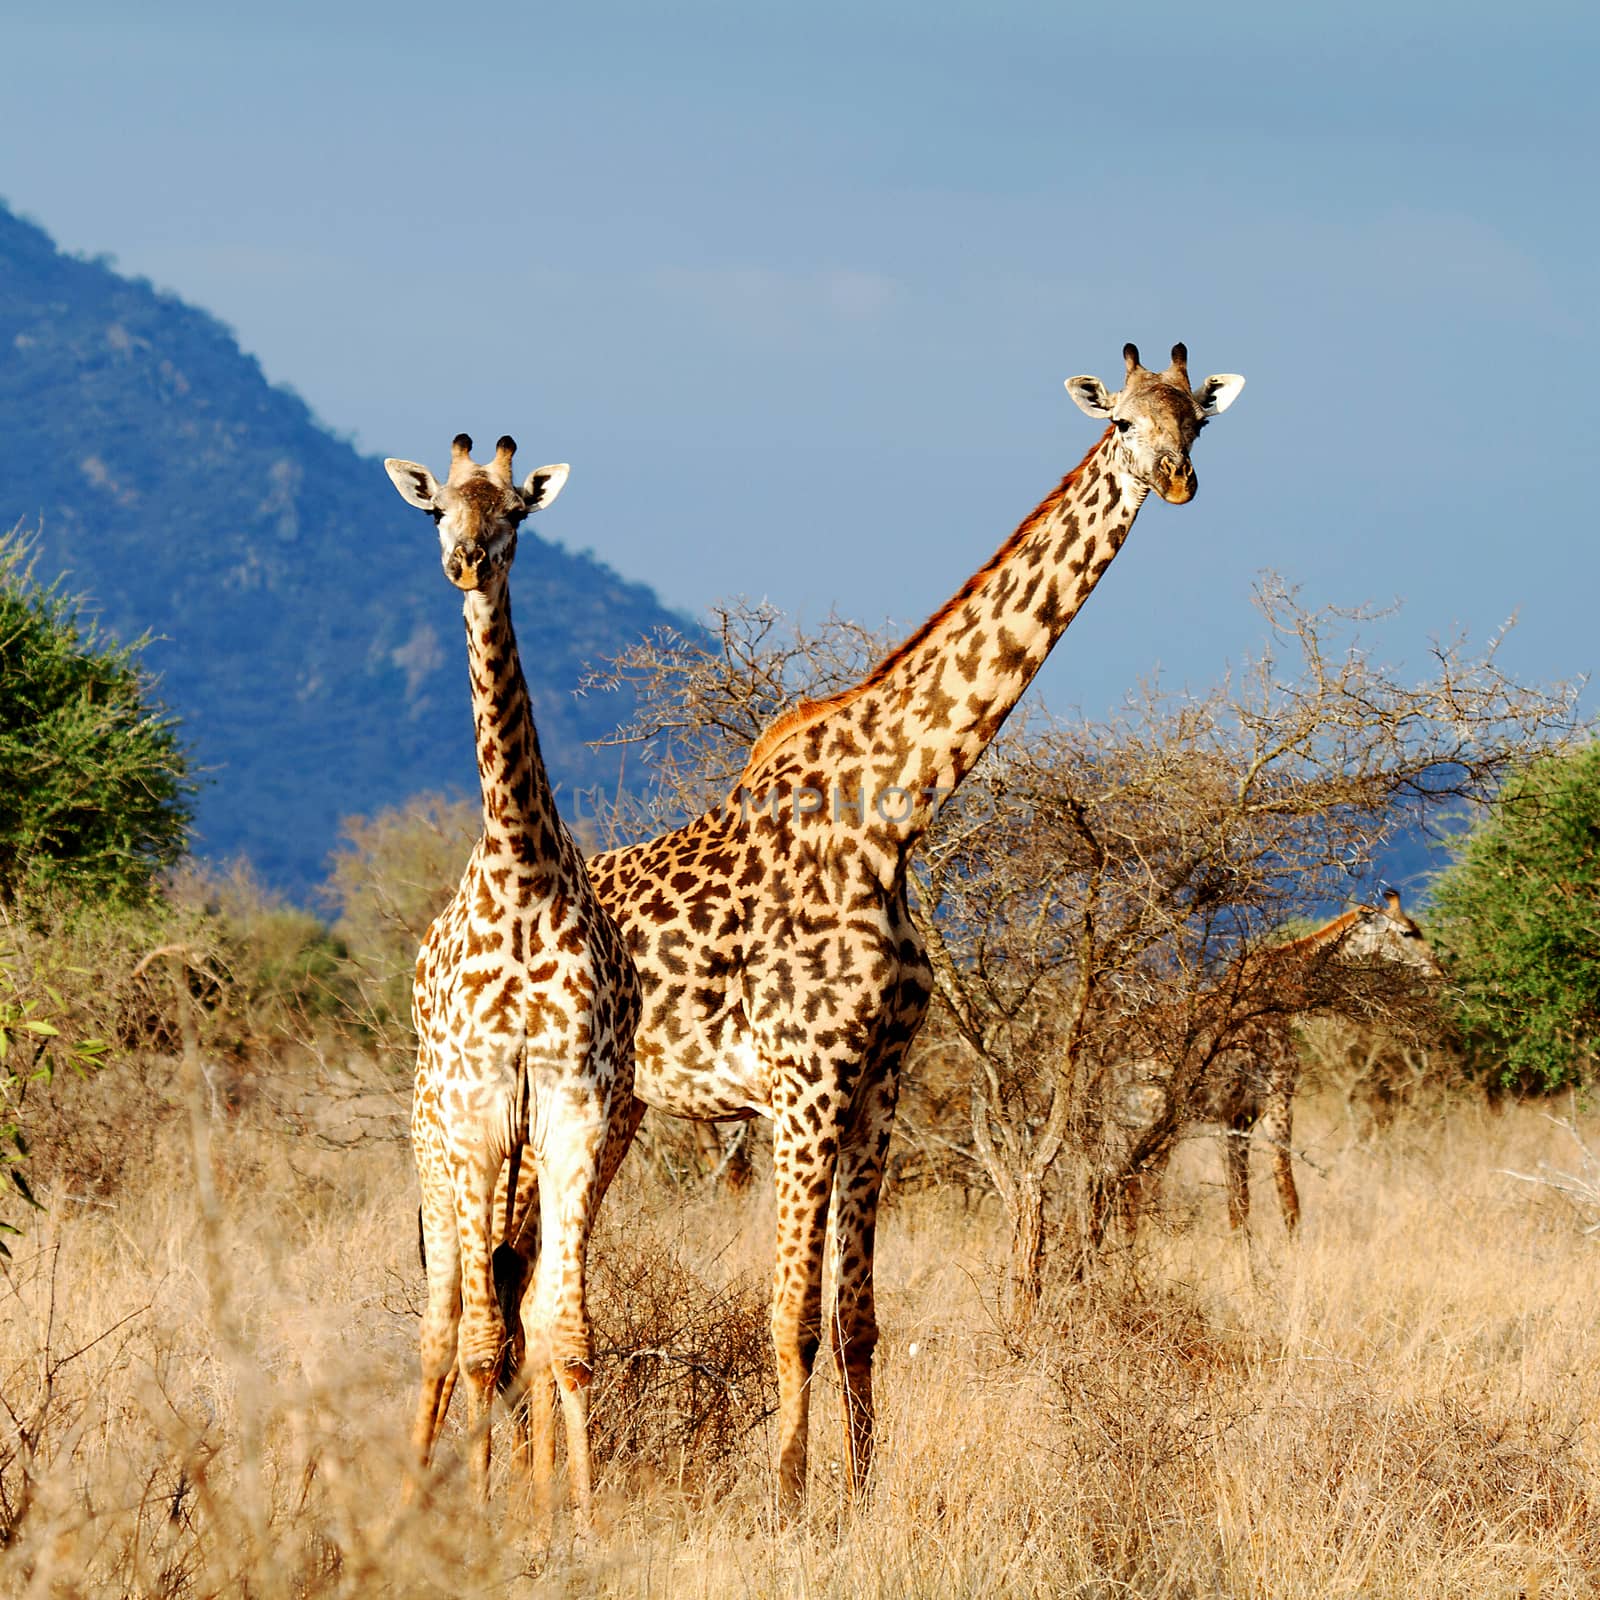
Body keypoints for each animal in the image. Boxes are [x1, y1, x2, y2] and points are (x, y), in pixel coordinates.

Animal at [576, 340, 1248, 1510]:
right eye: (1120, 421)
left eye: (1197, 421)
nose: (1175, 480)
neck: (892, 813)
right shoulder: (804, 1087)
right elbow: (789, 1318)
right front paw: (786, 1501)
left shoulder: (877, 1084)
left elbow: (859, 1321)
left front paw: (858, 1499)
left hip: (614, 1110)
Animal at [1120, 896, 1446, 1228]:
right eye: (1407, 932)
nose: (1438, 969)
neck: (1281, 987)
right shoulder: (1277, 1099)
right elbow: (1288, 1197)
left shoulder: (1236, 1116)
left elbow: (1239, 1203)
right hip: (1158, 1116)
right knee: (1135, 1190)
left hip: (1134, 1119)